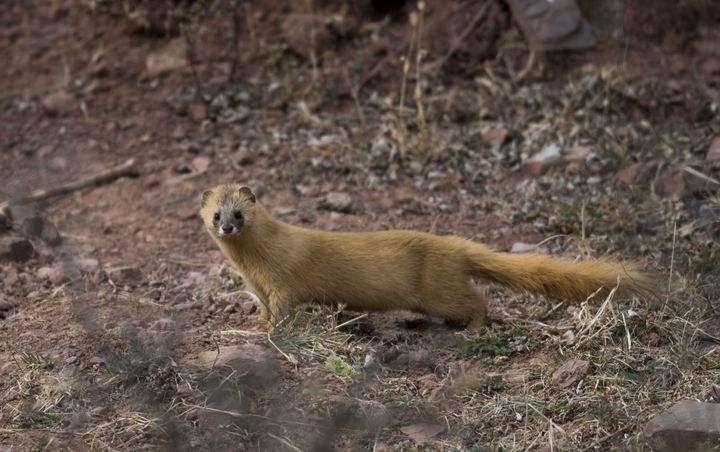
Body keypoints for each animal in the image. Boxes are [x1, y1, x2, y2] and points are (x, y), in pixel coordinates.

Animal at [198, 184, 660, 328]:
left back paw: (475, 328)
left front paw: (269, 330)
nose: (227, 227)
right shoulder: (257, 285)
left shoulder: (282, 280)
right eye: (215, 214)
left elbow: (284, 307)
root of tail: (454, 245)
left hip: (440, 288)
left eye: (239, 213)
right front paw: (256, 321)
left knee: (476, 301)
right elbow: (264, 307)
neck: (251, 264)